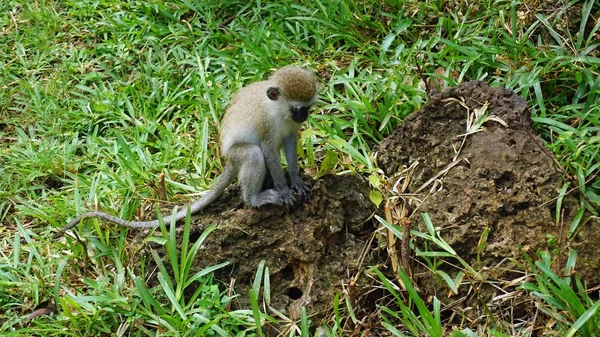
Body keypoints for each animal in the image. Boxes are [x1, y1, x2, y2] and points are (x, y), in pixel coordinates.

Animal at [55, 65, 318, 238]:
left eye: (307, 108)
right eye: (297, 109)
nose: (303, 117)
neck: (278, 111)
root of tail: (228, 161)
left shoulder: (290, 129)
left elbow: (290, 144)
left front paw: (296, 180)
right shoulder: (267, 124)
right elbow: (268, 150)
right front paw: (284, 191)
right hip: (237, 155)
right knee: (254, 153)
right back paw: (254, 199)